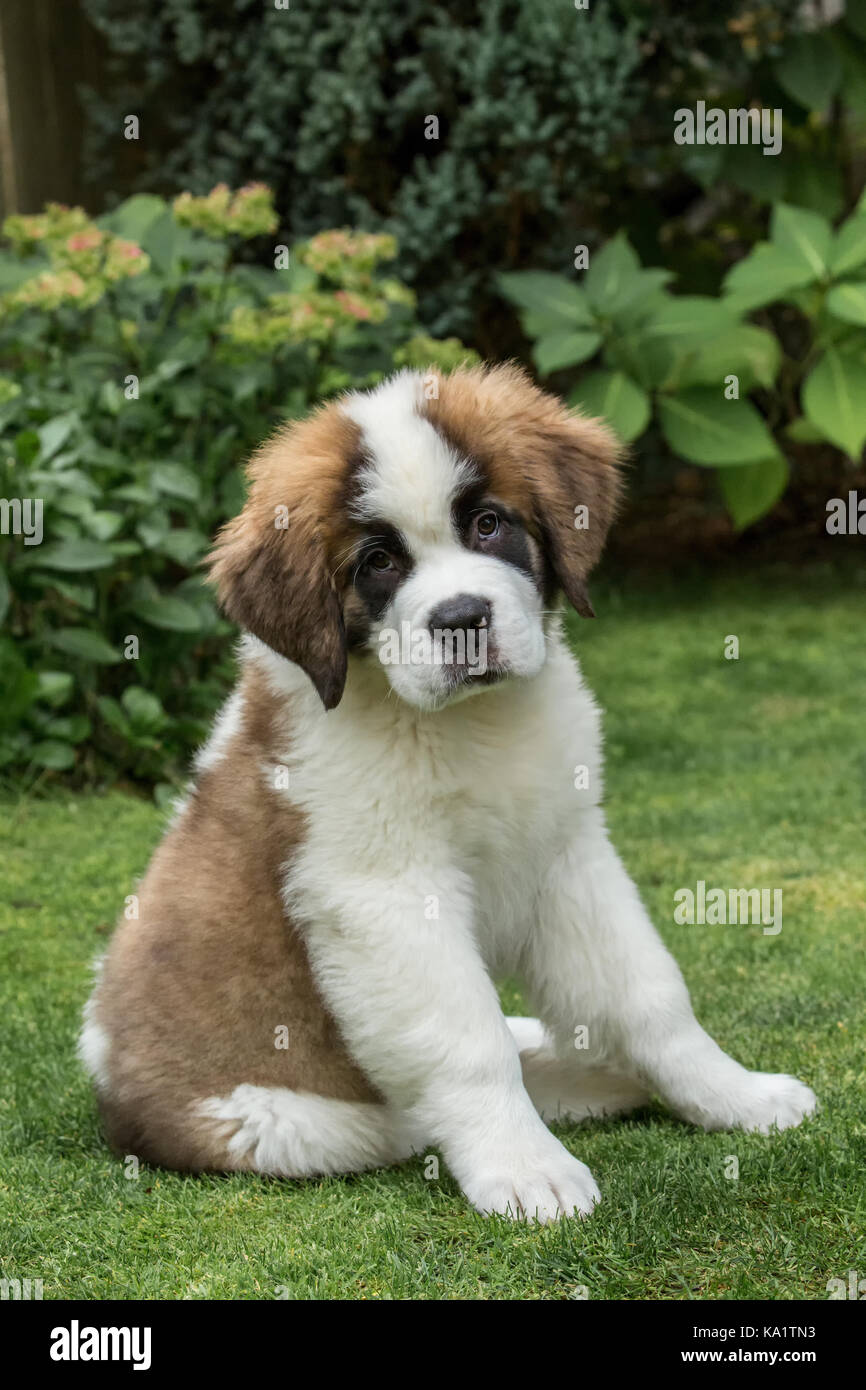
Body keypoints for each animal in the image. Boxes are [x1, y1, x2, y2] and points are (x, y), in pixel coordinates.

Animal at [77, 364, 817, 1223]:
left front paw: (734, 1095)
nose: (462, 617)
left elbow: (646, 994)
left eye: (489, 524)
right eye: (376, 563)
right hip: (297, 1123)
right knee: (409, 1110)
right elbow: (468, 1042)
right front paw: (526, 1168)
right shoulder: (387, 896)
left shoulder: (567, 853)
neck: (470, 724)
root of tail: (111, 1092)